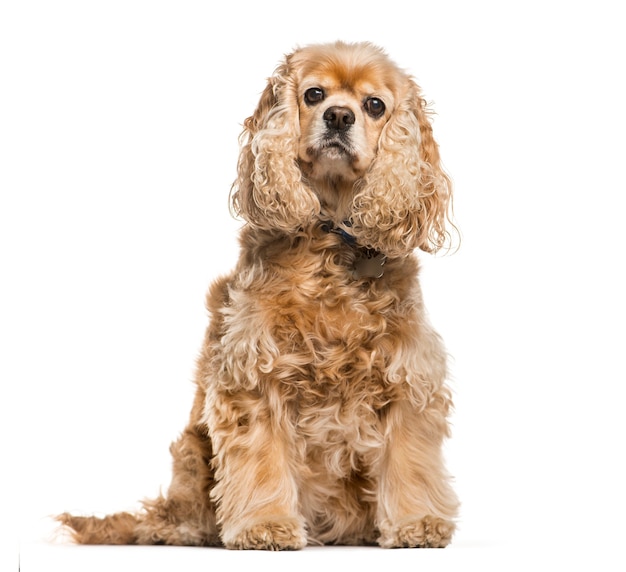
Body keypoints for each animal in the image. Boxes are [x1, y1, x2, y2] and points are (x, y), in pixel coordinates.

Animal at [58, 40, 458, 548]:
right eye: (313, 94)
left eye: (375, 105)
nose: (339, 117)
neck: (331, 238)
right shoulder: (254, 373)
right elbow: (261, 459)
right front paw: (264, 525)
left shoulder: (407, 376)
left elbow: (410, 460)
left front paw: (416, 523)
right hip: (192, 453)